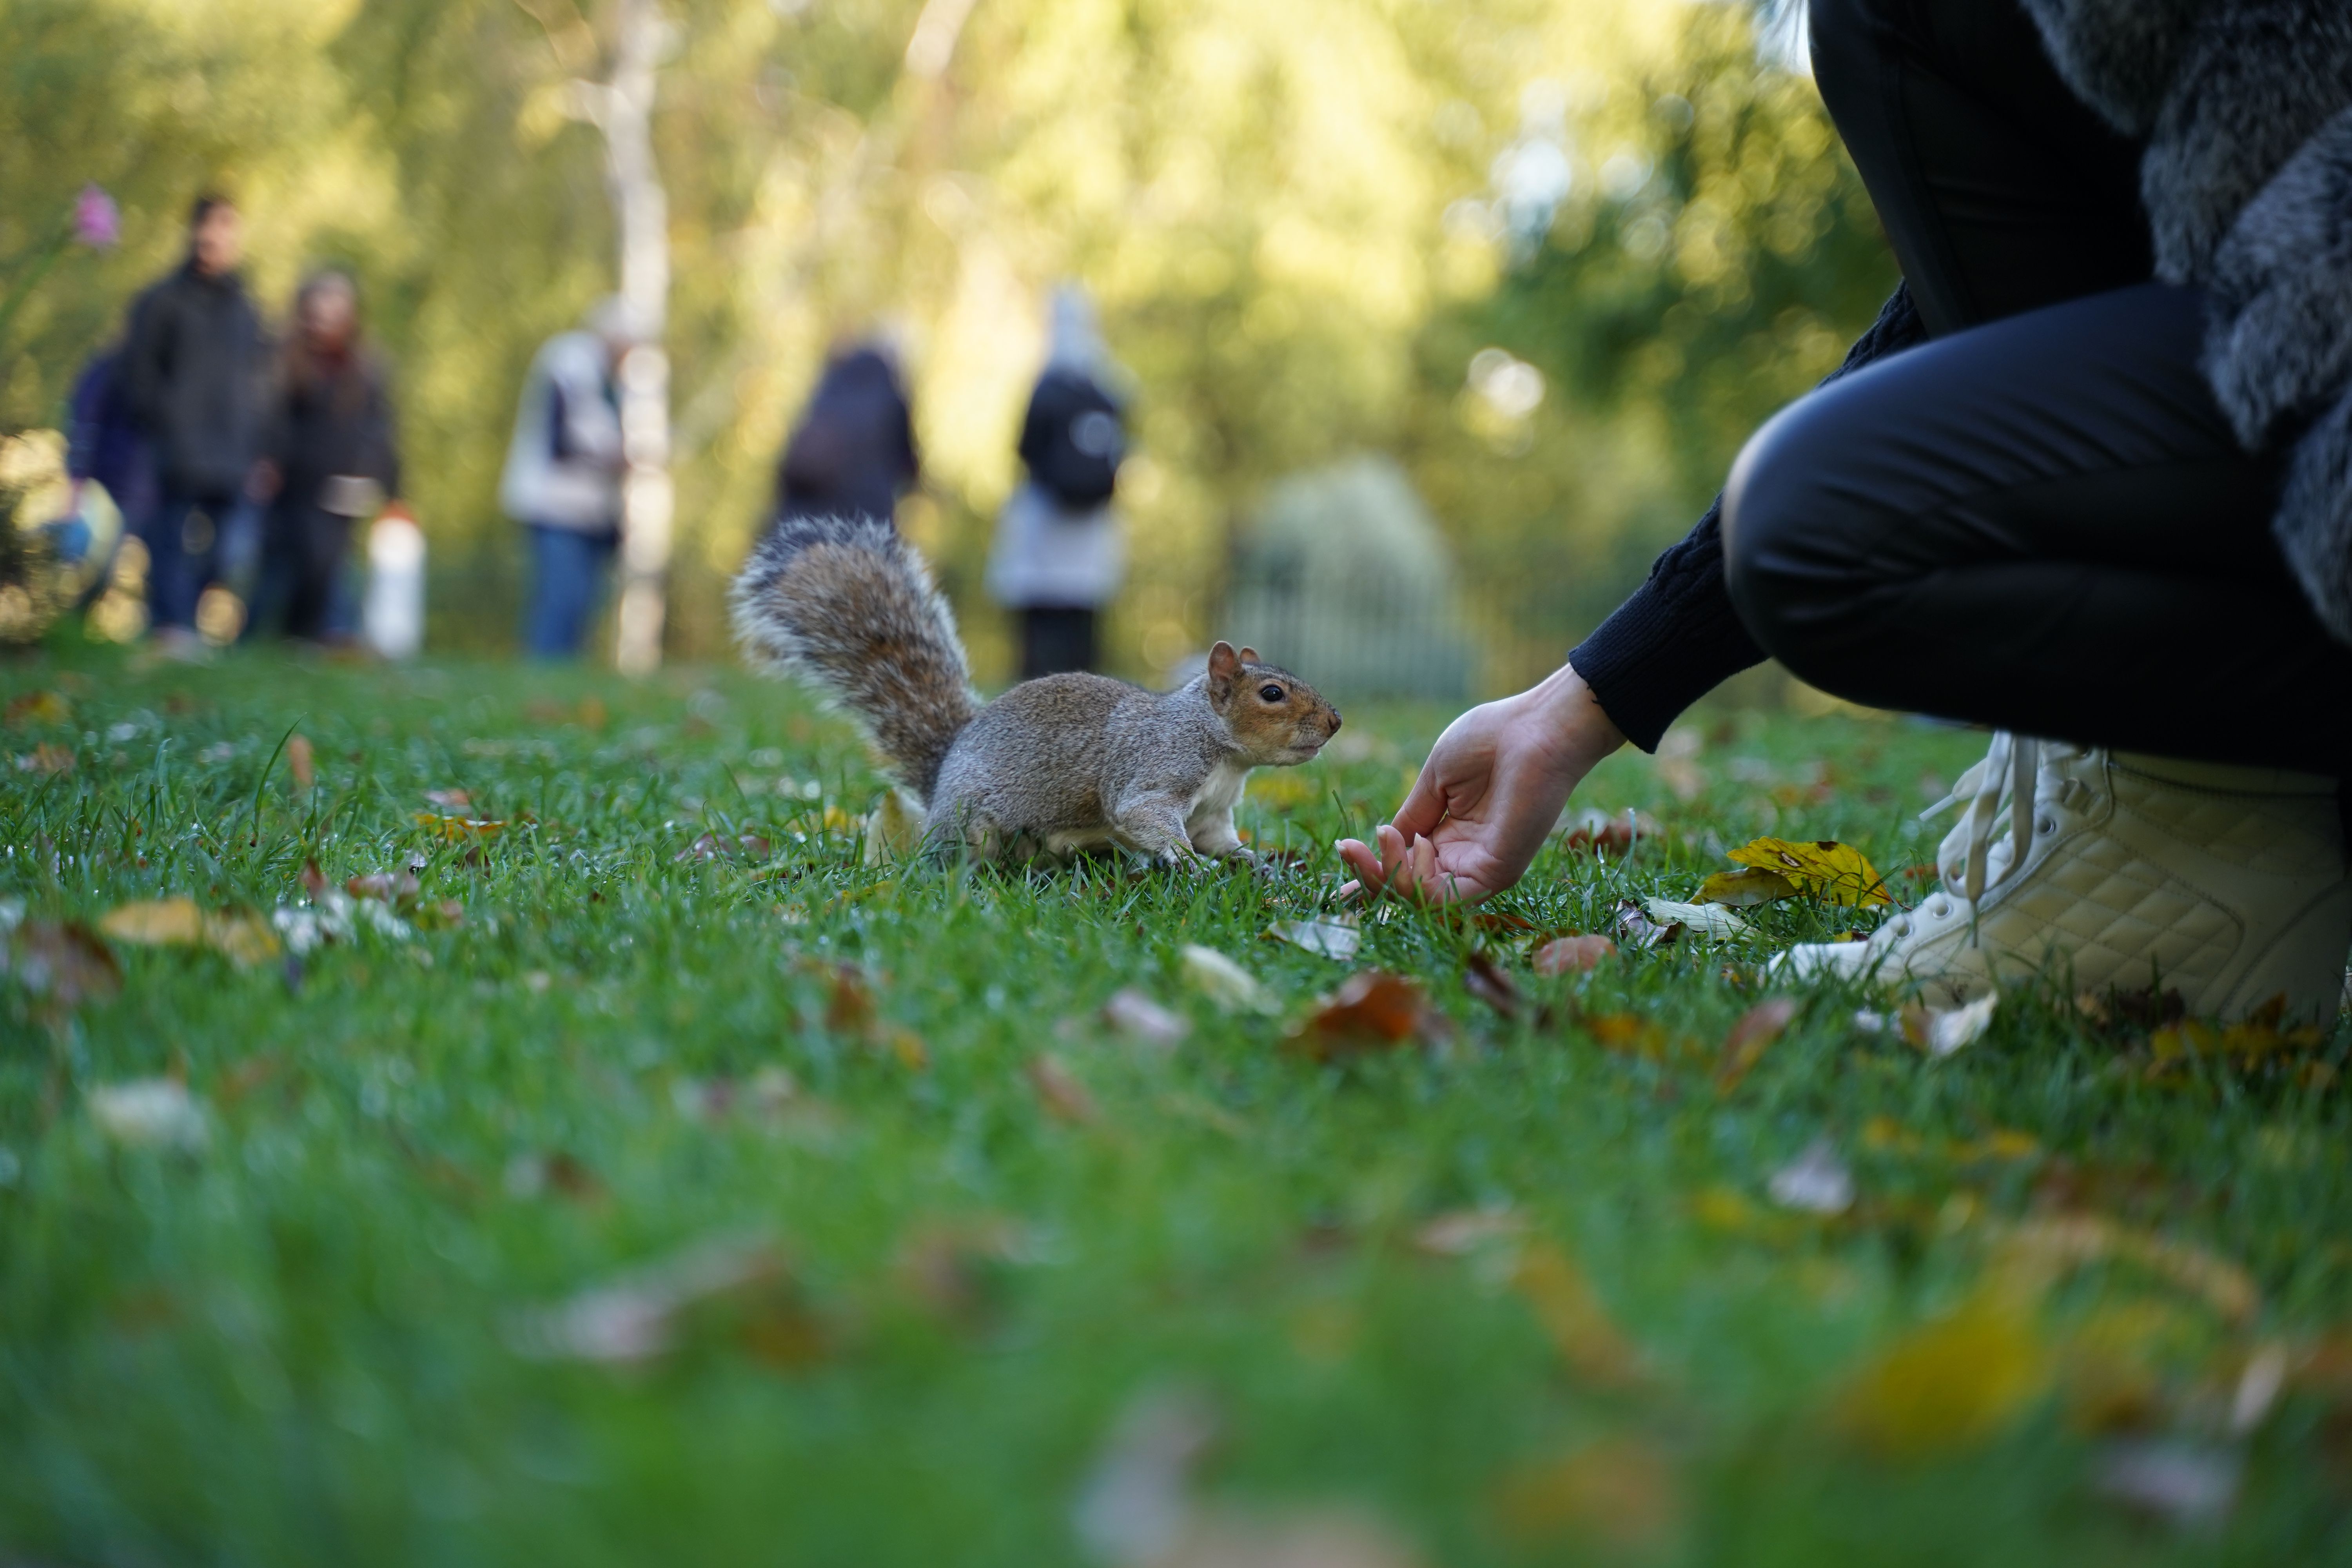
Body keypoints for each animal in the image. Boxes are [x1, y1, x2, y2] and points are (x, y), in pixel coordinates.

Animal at [731, 513, 1342, 864]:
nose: (1336, 722)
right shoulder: (1159, 766)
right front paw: (1188, 863)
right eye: (1272, 694)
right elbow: (1142, 813)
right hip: (973, 821)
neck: (1222, 752)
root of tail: (943, 772)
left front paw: (1251, 863)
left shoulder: (1214, 811)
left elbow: (1221, 838)